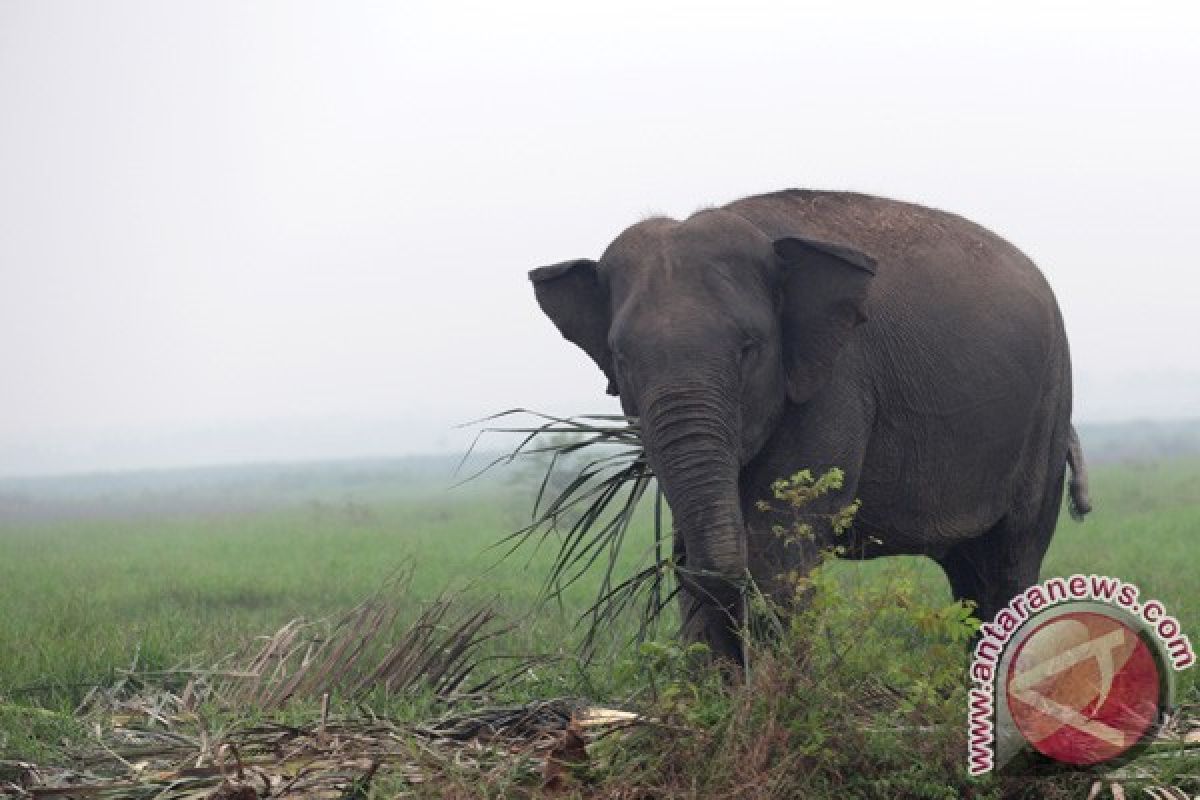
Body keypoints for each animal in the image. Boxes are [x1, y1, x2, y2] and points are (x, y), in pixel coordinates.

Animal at [530, 189, 1094, 662]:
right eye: (621, 358)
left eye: (749, 347)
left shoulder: (836, 377)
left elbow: (776, 548)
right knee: (968, 569)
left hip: (1049, 404)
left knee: (1010, 557)